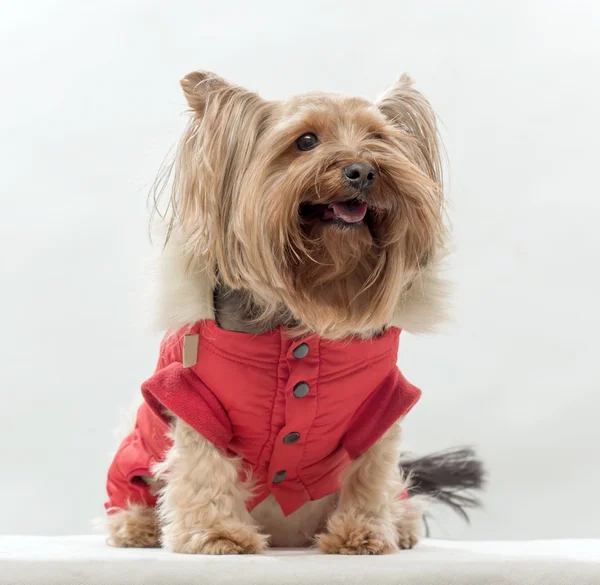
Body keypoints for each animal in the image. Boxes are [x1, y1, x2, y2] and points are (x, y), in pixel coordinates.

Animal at [103, 70, 482, 556]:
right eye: (306, 141)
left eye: (378, 138)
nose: (363, 170)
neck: (304, 311)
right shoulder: (191, 395)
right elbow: (204, 464)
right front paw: (217, 535)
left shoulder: (381, 402)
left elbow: (371, 470)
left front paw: (363, 532)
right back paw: (139, 527)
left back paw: (399, 525)